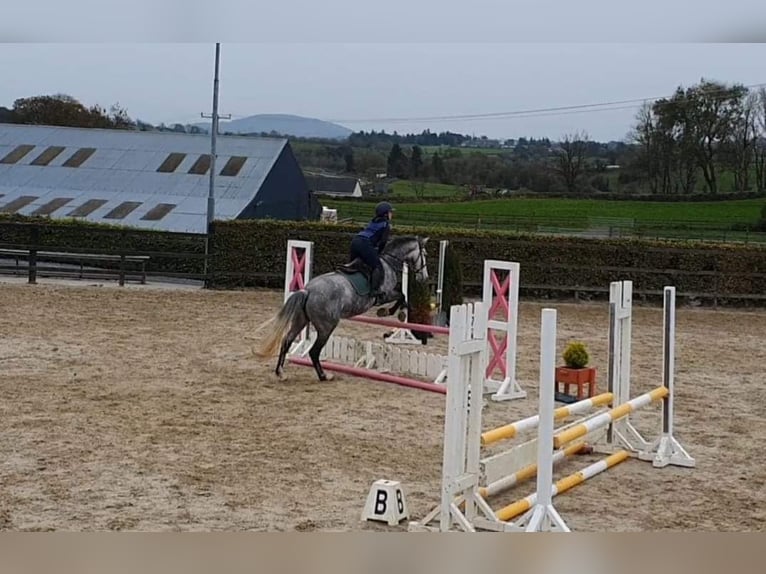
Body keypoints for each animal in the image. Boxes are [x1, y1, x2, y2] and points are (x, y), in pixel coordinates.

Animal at [260, 236, 432, 384]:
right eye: (424, 254)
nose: (424, 278)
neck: (389, 262)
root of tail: (307, 291)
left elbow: (402, 296)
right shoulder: (386, 294)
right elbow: (402, 296)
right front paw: (391, 312)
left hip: (300, 320)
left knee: (287, 341)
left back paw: (281, 373)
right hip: (326, 326)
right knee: (314, 351)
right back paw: (324, 376)